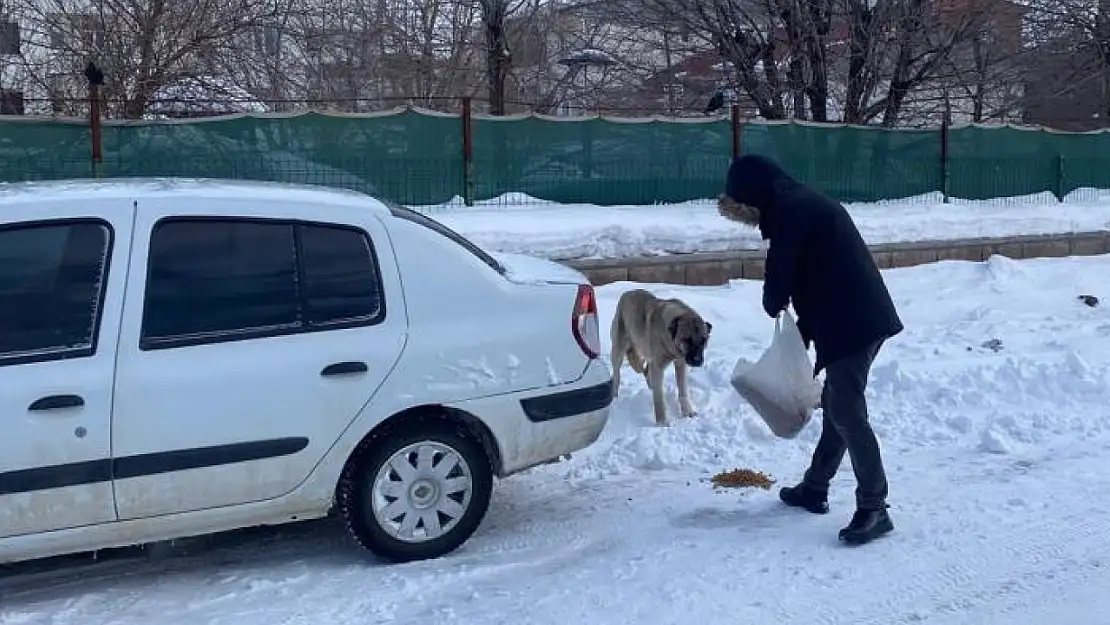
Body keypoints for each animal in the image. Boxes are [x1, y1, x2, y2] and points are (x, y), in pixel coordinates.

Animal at [612, 290, 714, 428]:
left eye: (703, 340)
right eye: (687, 340)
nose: (698, 361)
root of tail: (626, 293)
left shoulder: (680, 364)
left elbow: (683, 391)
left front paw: (688, 411)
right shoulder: (658, 366)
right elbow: (659, 398)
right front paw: (662, 422)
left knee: (647, 371)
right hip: (618, 351)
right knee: (617, 375)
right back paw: (614, 397)